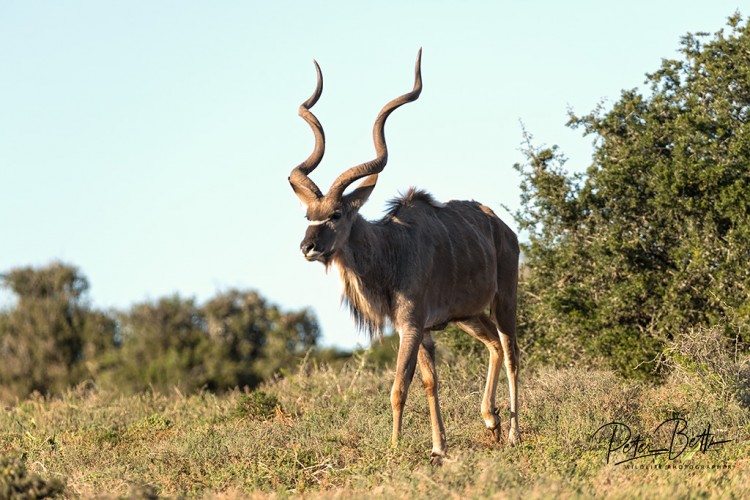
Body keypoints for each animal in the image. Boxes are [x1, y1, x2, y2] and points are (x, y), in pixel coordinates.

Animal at [290, 49, 524, 460]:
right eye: (309, 215)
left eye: (336, 214)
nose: (308, 247)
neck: (390, 249)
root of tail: (505, 230)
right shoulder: (423, 329)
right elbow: (431, 381)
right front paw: (438, 447)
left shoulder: (411, 325)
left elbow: (400, 386)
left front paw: (395, 447)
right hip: (468, 316)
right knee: (494, 346)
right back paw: (489, 420)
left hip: (503, 300)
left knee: (511, 353)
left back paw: (513, 434)